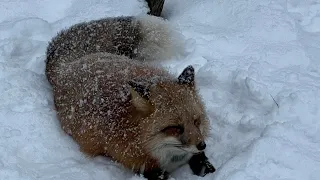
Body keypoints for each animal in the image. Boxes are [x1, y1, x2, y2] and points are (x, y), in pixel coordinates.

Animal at [44, 14, 215, 179]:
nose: (202, 145)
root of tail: (70, 65)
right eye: (175, 128)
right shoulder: (131, 159)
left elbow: (200, 159)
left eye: (196, 121)